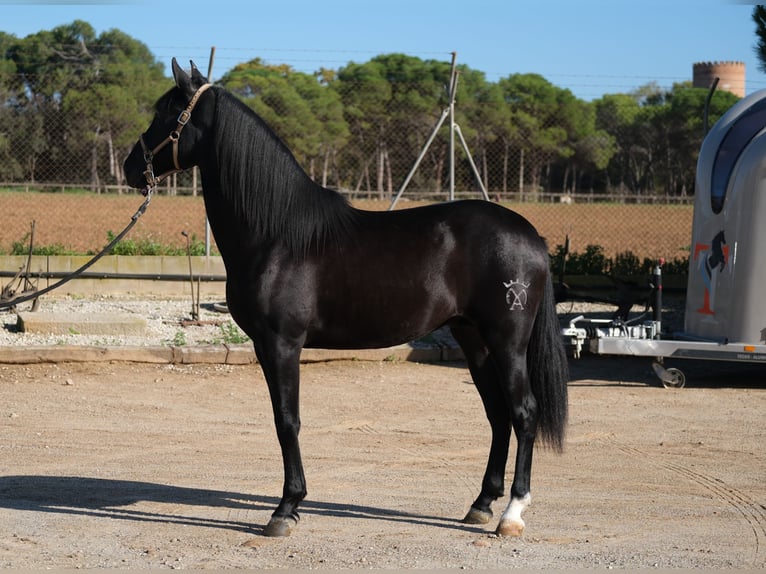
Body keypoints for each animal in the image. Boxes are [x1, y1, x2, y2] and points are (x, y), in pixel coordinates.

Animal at [124, 59, 568, 540]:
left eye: (167, 114)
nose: (130, 168)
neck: (277, 236)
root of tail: (532, 236)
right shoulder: (269, 345)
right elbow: (284, 420)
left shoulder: (280, 344)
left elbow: (287, 421)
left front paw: (286, 508)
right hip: (474, 339)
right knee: (498, 414)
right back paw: (481, 504)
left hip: (507, 342)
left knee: (523, 413)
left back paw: (512, 514)